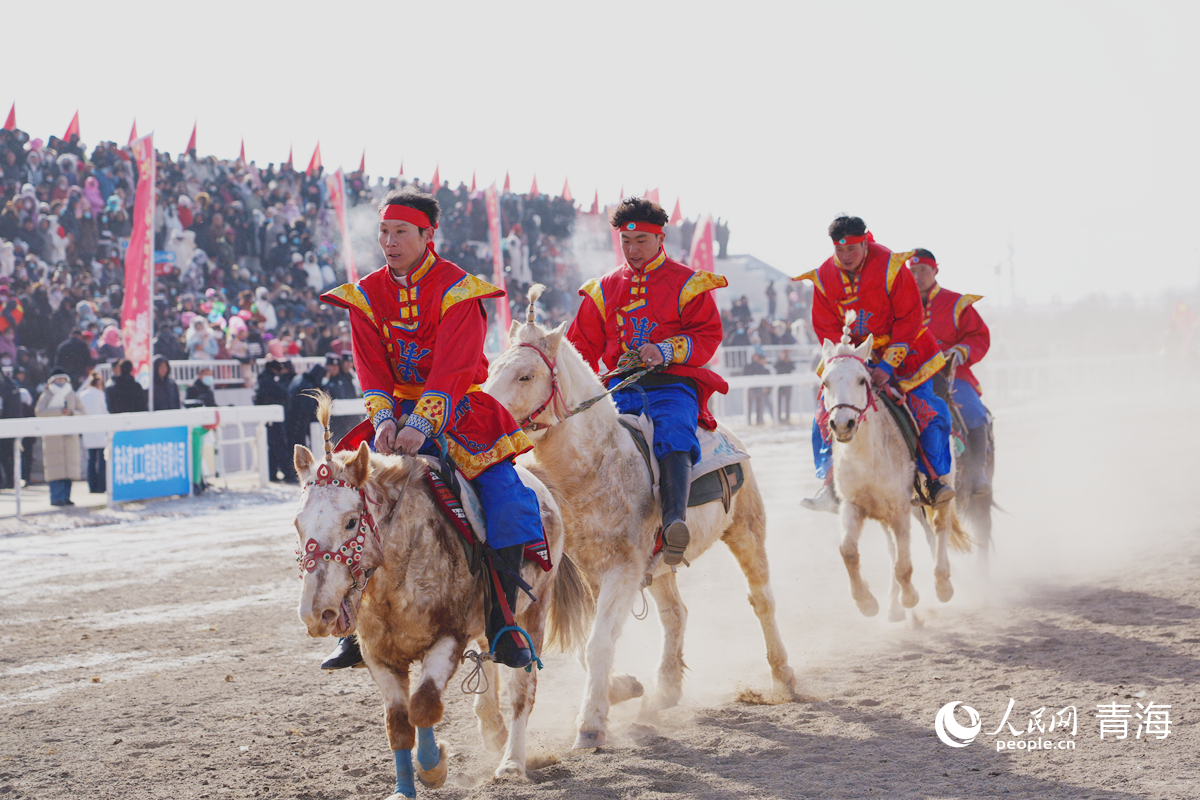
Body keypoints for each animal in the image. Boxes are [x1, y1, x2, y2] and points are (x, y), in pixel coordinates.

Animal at [482, 293, 801, 753]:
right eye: (491, 370)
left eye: (525, 375)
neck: (598, 465)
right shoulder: (595, 573)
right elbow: (588, 647)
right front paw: (624, 688)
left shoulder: (622, 570)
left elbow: (597, 645)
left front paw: (591, 723)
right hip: (664, 564)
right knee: (676, 614)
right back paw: (665, 688)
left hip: (746, 531)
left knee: (762, 601)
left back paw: (783, 676)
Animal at [820, 316, 969, 623]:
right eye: (826, 382)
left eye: (862, 380)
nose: (842, 424)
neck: (867, 459)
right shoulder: (853, 505)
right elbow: (848, 551)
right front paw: (866, 602)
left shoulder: (899, 507)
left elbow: (904, 565)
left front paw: (911, 597)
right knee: (893, 549)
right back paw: (893, 605)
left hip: (939, 488)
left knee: (940, 527)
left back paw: (942, 584)